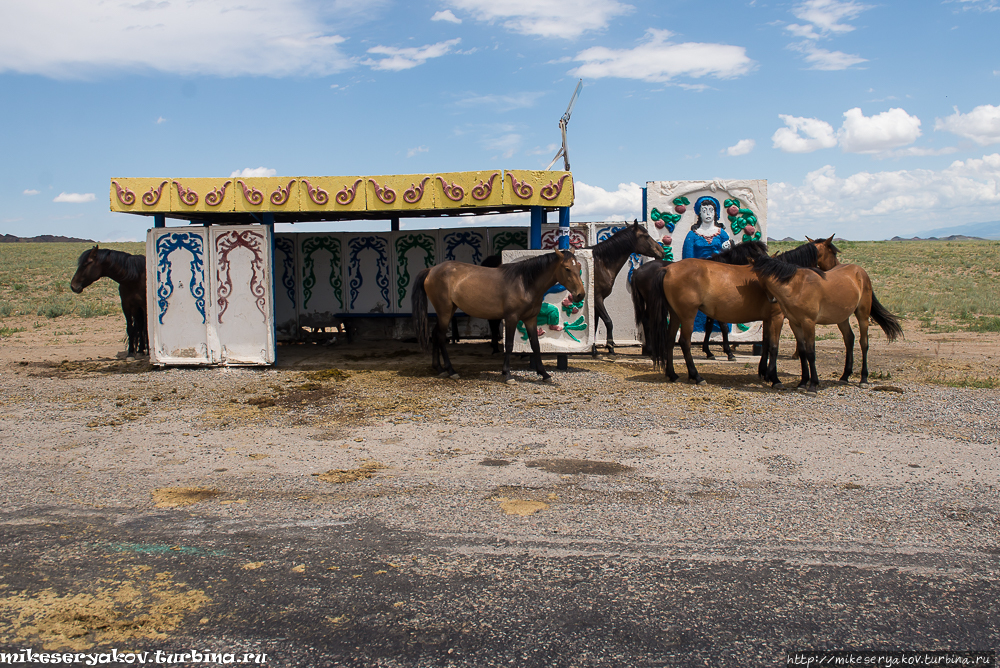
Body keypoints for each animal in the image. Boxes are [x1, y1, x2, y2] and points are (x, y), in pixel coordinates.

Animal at [412, 249, 584, 386]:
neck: (524, 283)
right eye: (567, 268)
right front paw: (507, 374)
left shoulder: (530, 319)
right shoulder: (511, 318)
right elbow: (509, 345)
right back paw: (451, 370)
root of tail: (431, 270)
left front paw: (544, 374)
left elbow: (535, 345)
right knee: (441, 337)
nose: (580, 295)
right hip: (445, 311)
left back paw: (439, 368)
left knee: (435, 334)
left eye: (579, 267)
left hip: (446, 312)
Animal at [588, 220, 668, 354]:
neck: (600, 264)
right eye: (646, 236)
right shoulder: (597, 298)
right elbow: (608, 322)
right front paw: (610, 347)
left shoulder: (596, 301)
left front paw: (594, 350)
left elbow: (594, 324)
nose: (661, 251)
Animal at [636, 239, 840, 386]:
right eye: (833, 252)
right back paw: (697, 376)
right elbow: (774, 347)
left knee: (670, 341)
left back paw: (672, 374)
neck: (783, 276)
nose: (837, 268)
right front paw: (774, 378)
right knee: (684, 343)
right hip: (687, 315)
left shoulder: (767, 319)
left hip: (676, 314)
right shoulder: (777, 318)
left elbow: (766, 344)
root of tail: (667, 269)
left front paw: (763, 372)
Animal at [752, 253, 908, 394]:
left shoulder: (809, 323)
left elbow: (810, 353)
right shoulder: (795, 324)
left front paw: (812, 385)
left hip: (862, 315)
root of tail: (861, 272)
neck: (796, 286)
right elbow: (802, 352)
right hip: (842, 318)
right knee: (849, 339)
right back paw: (845, 376)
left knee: (864, 343)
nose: (771, 300)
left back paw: (863, 379)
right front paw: (802, 383)